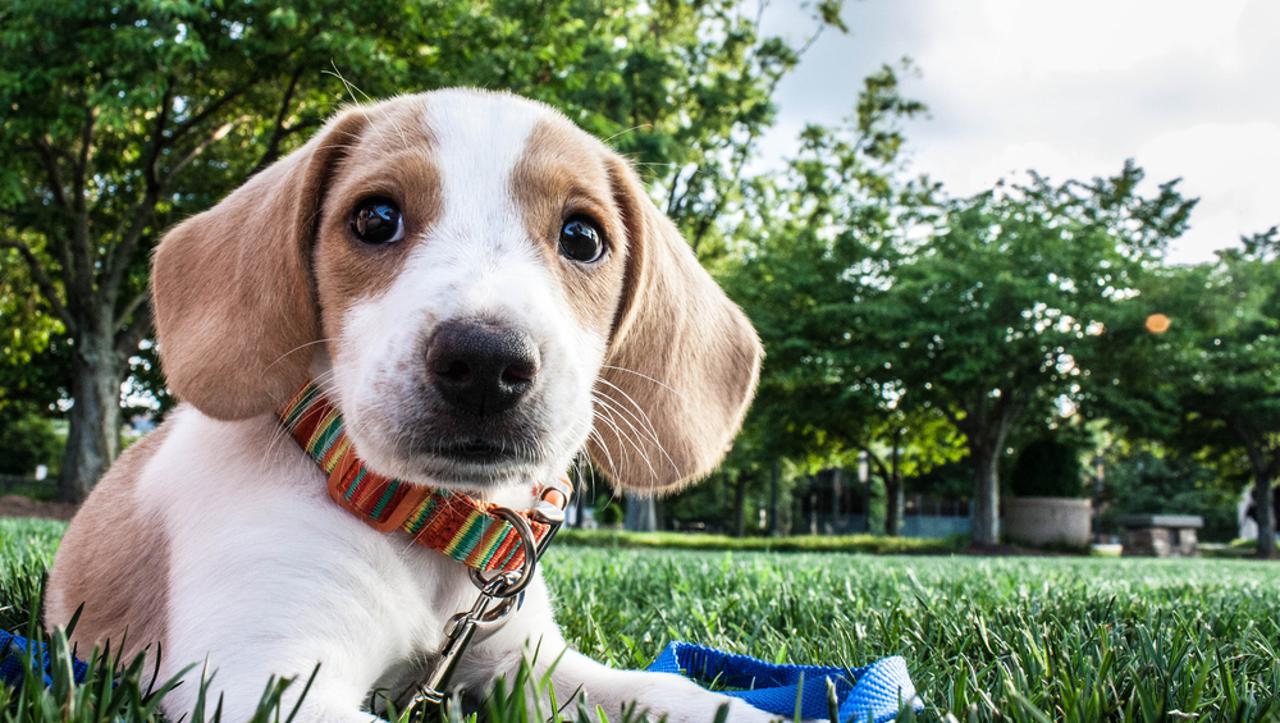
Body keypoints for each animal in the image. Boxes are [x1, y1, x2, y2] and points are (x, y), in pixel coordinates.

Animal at [45, 90, 762, 721]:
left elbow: (673, 692)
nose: (486, 361)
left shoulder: (529, 664)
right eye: (375, 218)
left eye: (583, 237)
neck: (422, 526)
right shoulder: (259, 682)